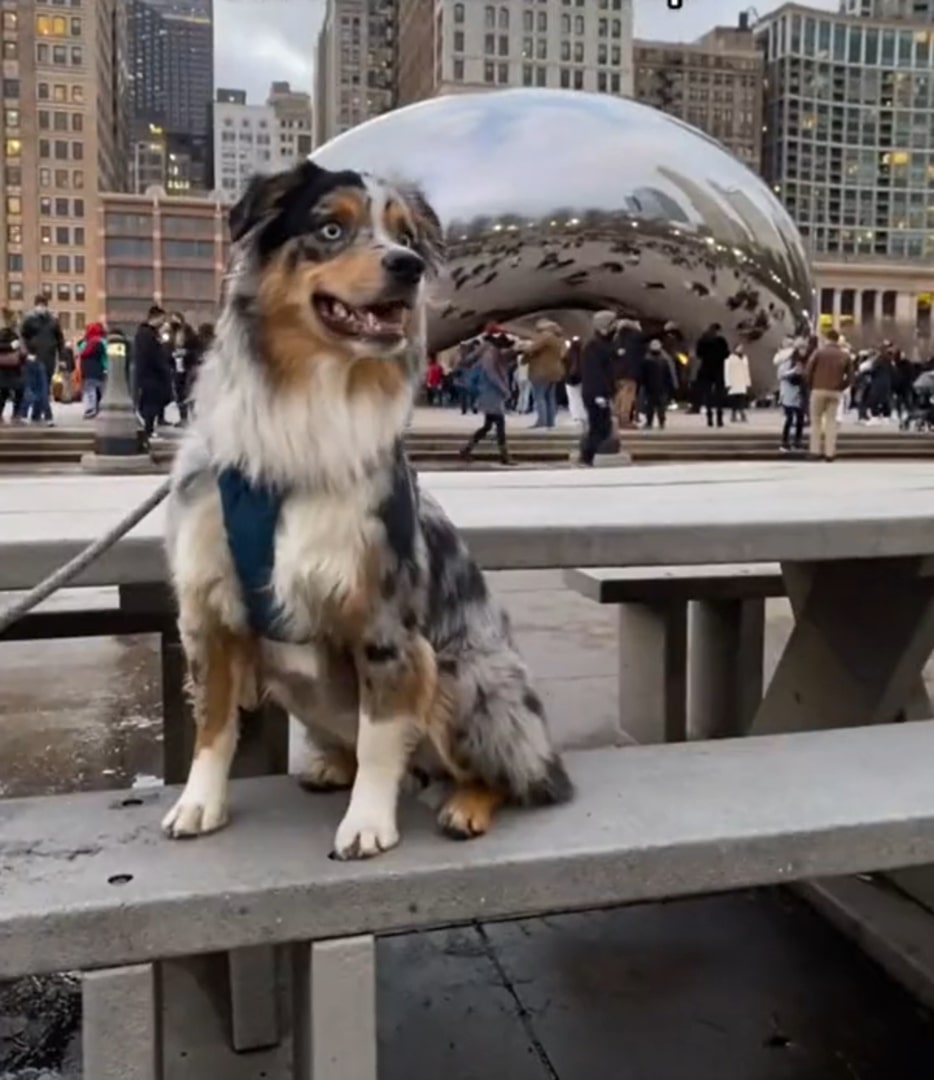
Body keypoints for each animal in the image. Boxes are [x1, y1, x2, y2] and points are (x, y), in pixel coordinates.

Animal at [161, 157, 570, 859]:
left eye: (405, 236)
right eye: (331, 228)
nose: (408, 265)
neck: (309, 403)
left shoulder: (386, 623)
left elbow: (382, 737)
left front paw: (368, 823)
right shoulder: (209, 612)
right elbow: (212, 724)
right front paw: (198, 803)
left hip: (464, 674)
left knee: (515, 777)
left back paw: (466, 803)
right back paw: (332, 765)